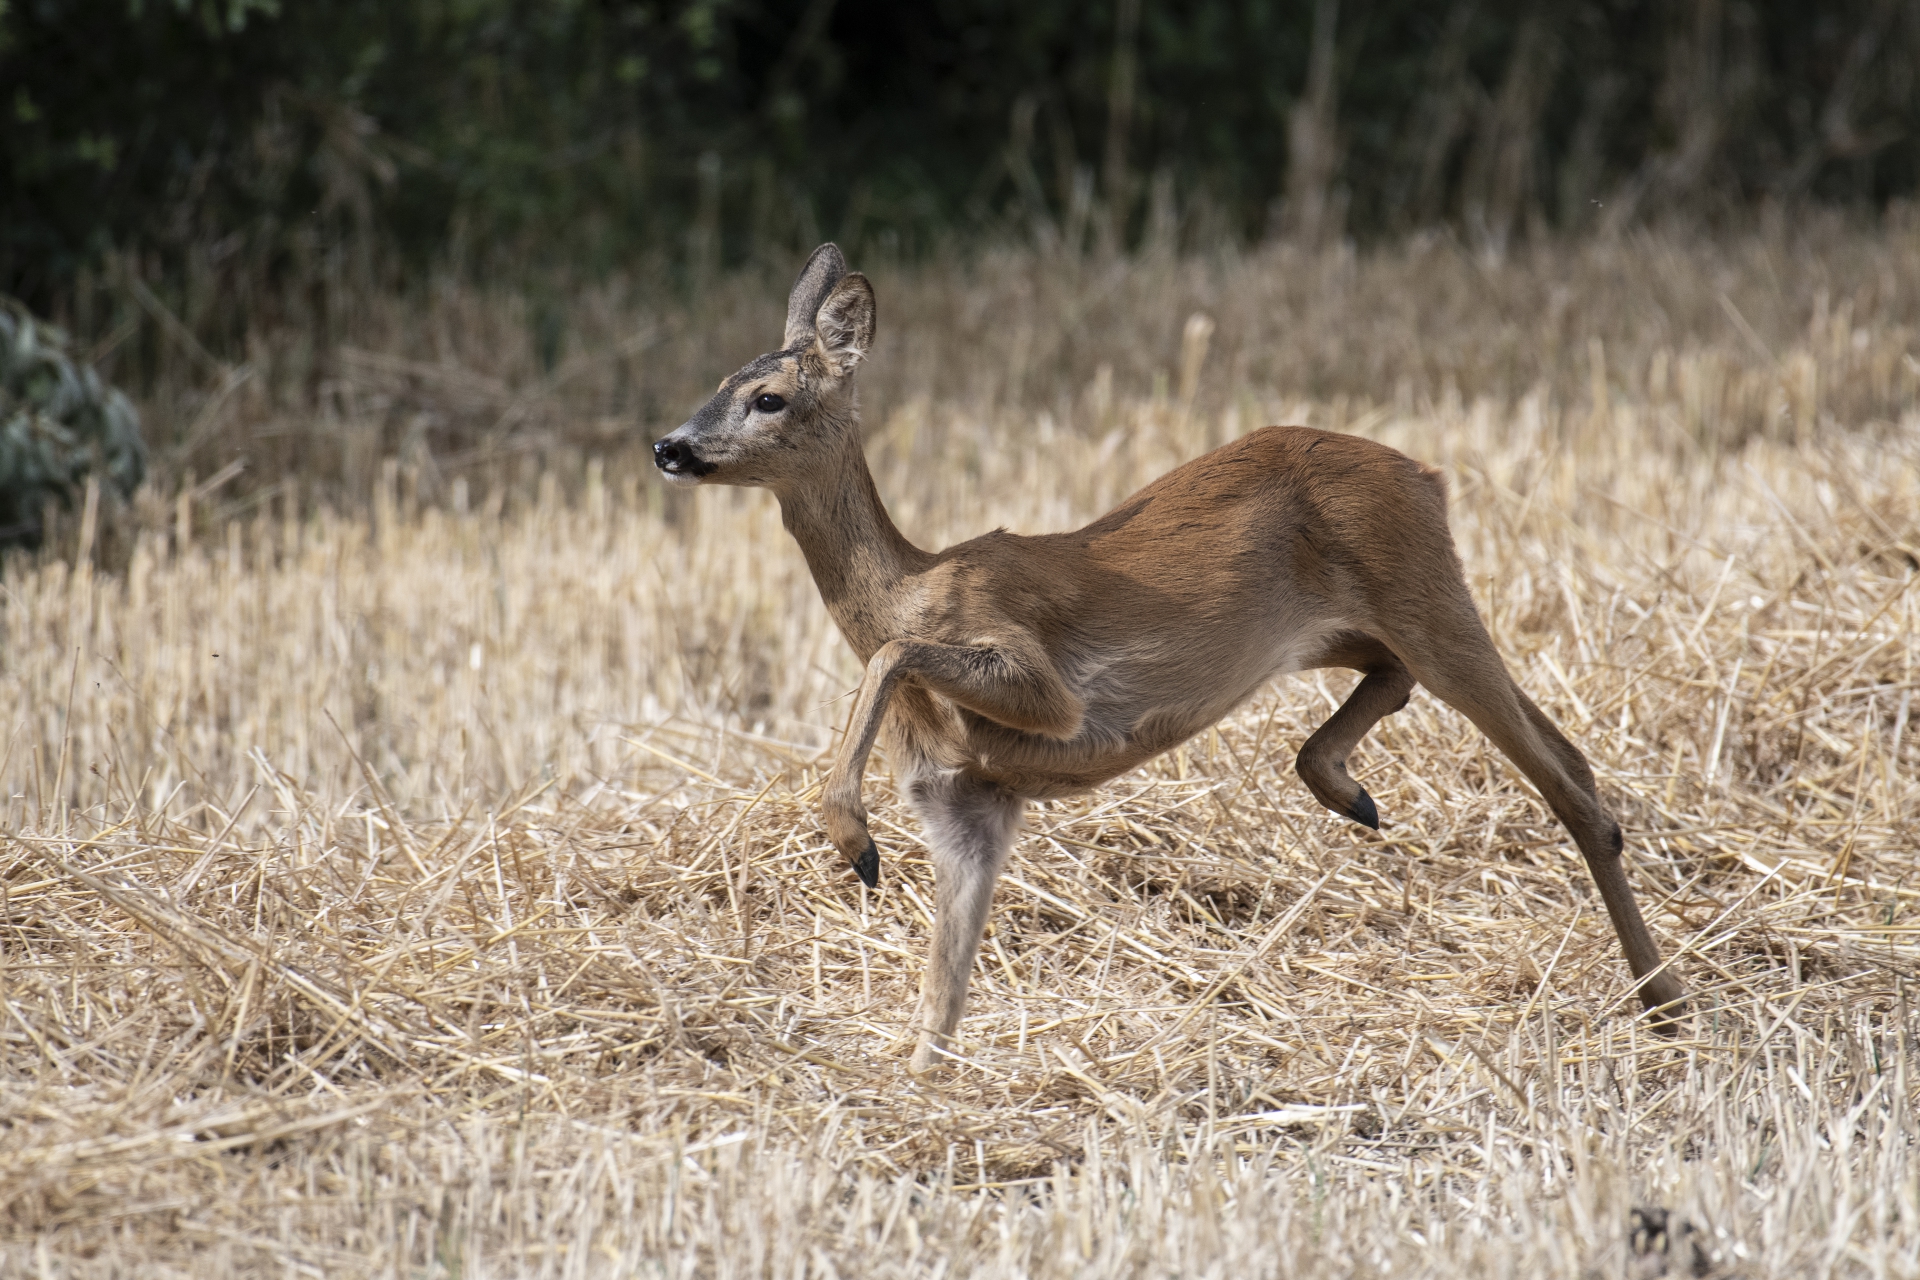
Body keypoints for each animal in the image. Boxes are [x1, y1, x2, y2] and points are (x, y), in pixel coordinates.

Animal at [652, 245, 1689, 1074]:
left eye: (769, 397)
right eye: (719, 381)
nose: (669, 445)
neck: (912, 579)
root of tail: (1426, 472)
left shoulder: (1044, 685)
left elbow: (897, 655)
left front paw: (853, 841)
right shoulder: (970, 806)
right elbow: (943, 996)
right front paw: (919, 1087)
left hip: (1429, 596)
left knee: (1571, 776)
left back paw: (1669, 1006)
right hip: (1354, 626)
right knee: (1403, 690)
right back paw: (1349, 792)